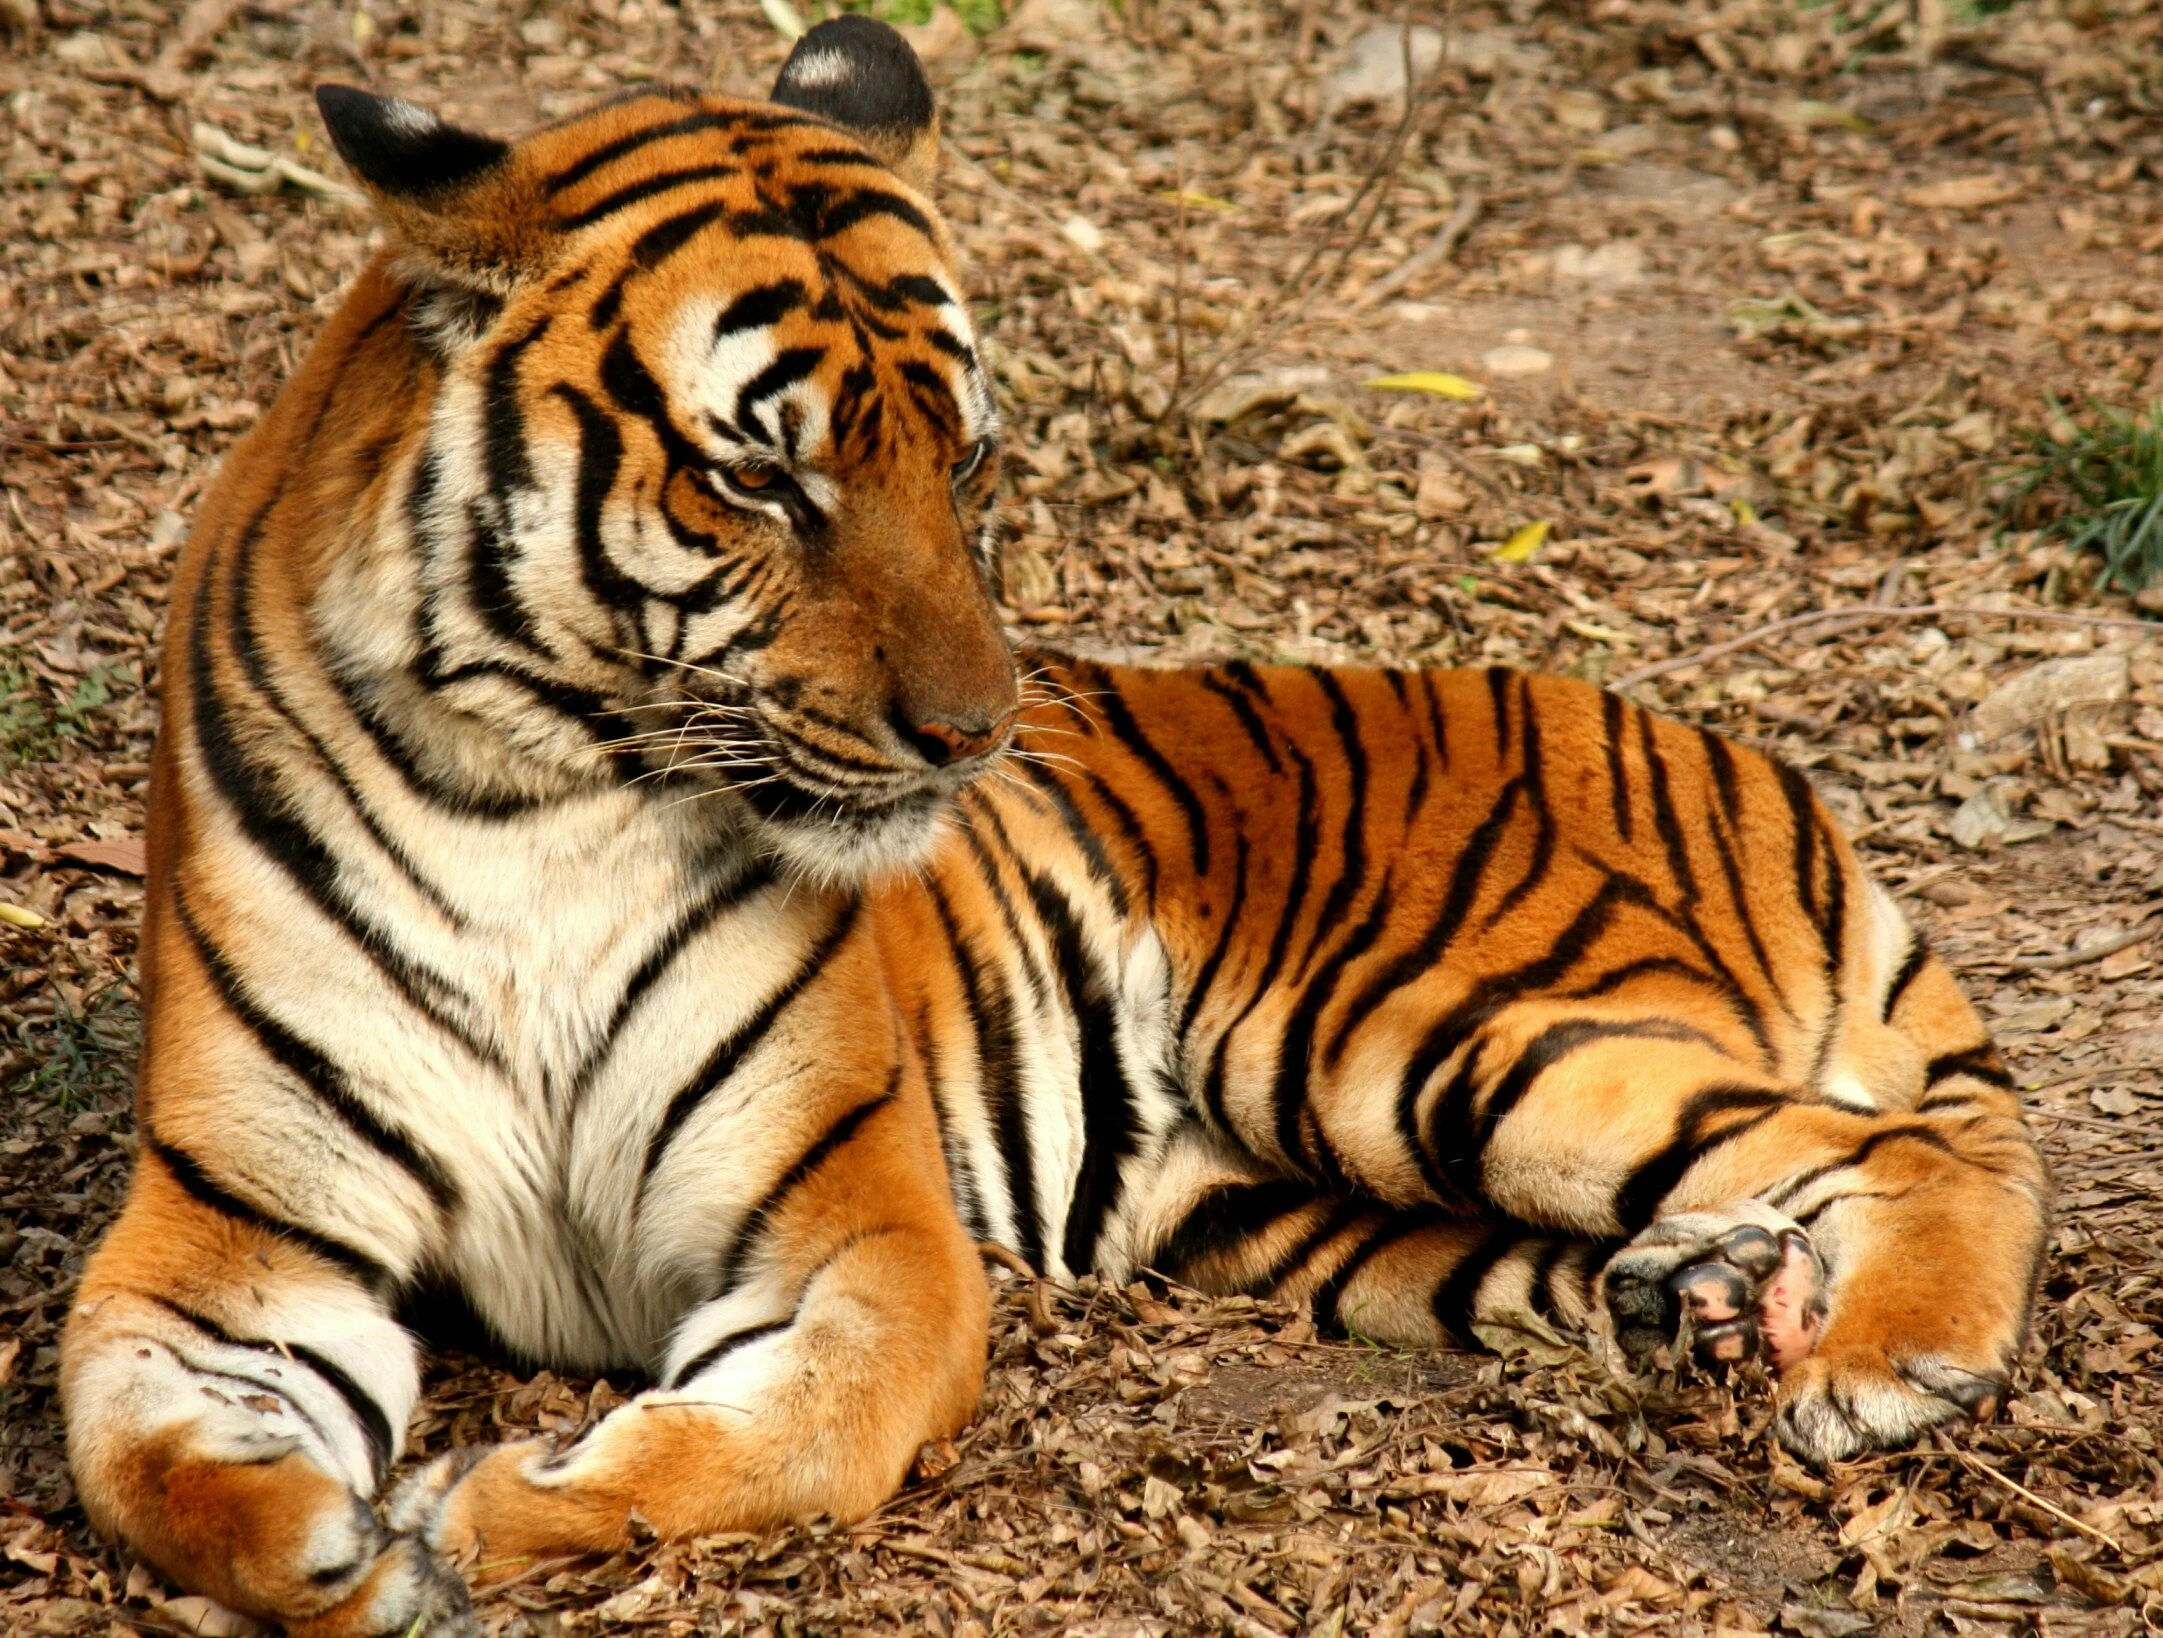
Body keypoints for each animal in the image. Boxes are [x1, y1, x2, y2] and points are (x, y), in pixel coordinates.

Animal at [54, 15, 2041, 1635]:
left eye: (968, 460)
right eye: (759, 474)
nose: (970, 734)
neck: (538, 793)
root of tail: (1727, 754)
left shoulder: (853, 1219)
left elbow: (779, 1433)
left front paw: (482, 1513)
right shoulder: (233, 1236)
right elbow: (129, 1440)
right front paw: (329, 1547)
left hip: (1425, 1033)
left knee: (1893, 1143)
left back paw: (1885, 1361)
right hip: (1284, 1202)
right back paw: (1702, 1304)